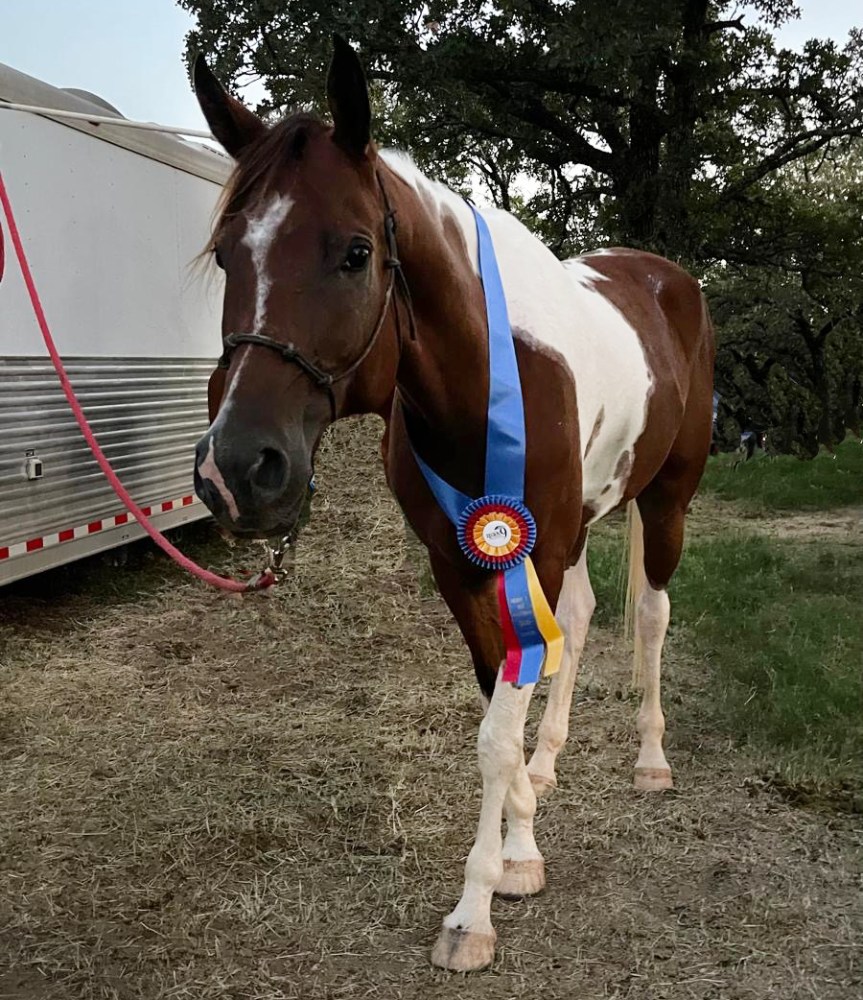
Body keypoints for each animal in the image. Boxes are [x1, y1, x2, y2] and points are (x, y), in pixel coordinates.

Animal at [191, 36, 715, 972]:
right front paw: (520, 848)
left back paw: (651, 759)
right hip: (577, 526)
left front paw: (475, 910)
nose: (239, 470)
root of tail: (665, 278)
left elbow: (496, 730)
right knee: (579, 619)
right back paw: (550, 763)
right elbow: (500, 714)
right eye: (226, 255)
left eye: (355, 252)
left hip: (665, 498)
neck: (487, 377)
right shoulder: (462, 561)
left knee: (650, 615)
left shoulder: (528, 547)